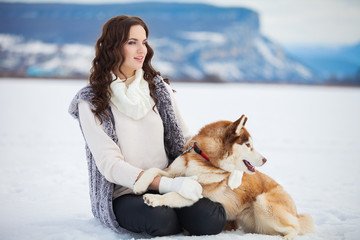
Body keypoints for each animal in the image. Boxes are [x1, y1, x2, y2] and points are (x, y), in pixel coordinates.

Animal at [134, 115, 314, 239]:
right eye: (248, 145)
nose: (265, 159)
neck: (205, 159)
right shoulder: (172, 173)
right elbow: (154, 171)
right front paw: (139, 184)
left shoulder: (198, 192)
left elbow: (173, 195)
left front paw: (154, 198)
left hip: (263, 203)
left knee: (295, 228)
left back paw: (288, 237)